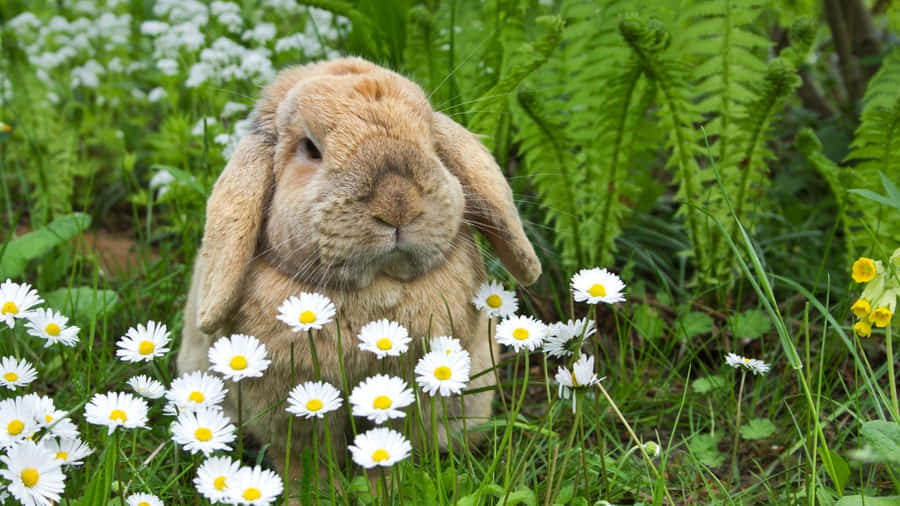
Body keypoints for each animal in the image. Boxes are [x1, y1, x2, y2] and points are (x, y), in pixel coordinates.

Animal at [176, 57, 541, 485]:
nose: (398, 204)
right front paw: (310, 492)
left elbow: (389, 449)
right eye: (310, 148)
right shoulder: (291, 409)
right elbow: (305, 461)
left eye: (430, 140)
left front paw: (386, 488)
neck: (377, 290)